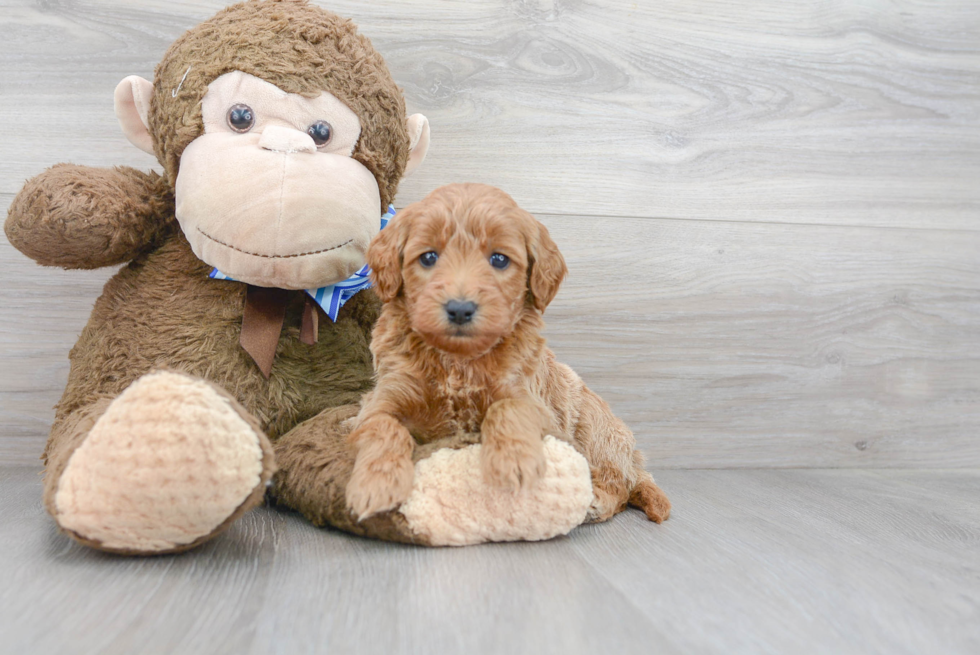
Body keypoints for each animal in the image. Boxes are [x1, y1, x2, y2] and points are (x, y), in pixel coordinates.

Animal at [340, 182, 668, 524]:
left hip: (596, 430)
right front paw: (376, 483)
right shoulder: (384, 397)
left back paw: (597, 501)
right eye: (429, 257)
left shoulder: (534, 403)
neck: (458, 362)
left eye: (499, 260)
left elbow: (508, 408)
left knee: (621, 483)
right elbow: (382, 426)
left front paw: (514, 462)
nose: (460, 309)